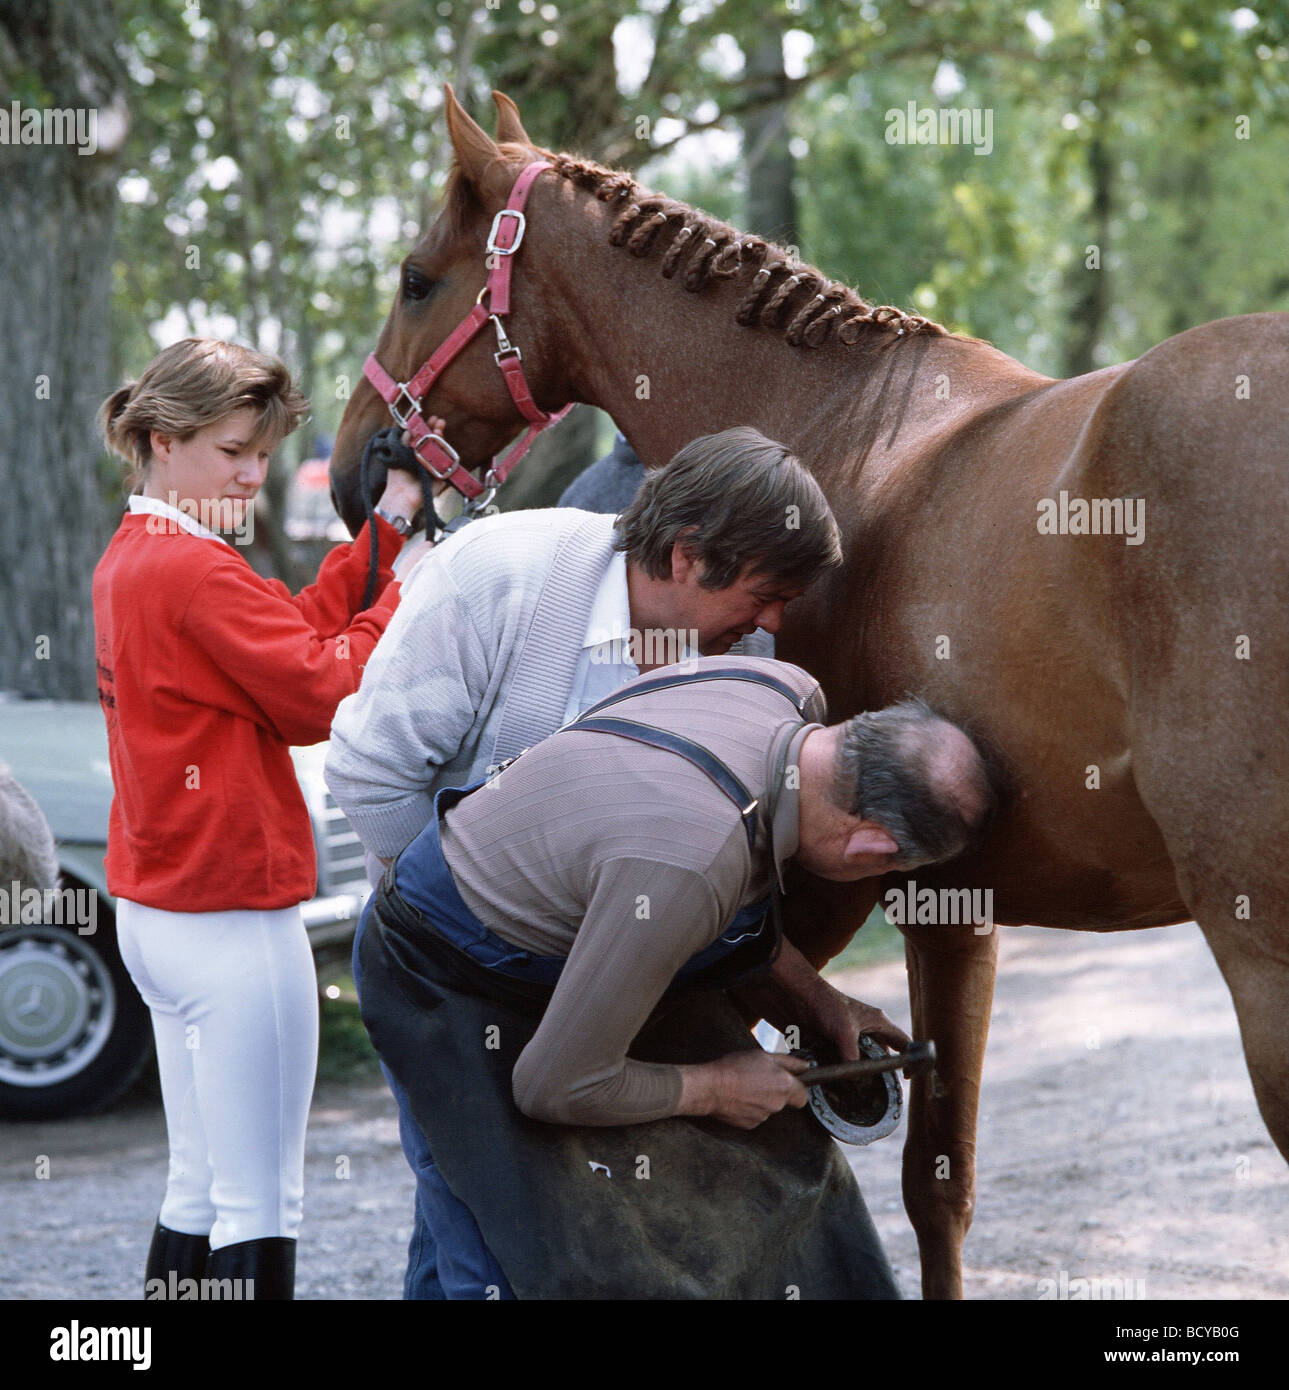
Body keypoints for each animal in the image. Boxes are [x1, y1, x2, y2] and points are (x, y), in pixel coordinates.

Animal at [332, 89, 1289, 1301]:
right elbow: (942, 1178)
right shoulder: (953, 901)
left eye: (416, 278)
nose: (352, 469)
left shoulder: (831, 891)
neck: (844, 427)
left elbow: (915, 1171)